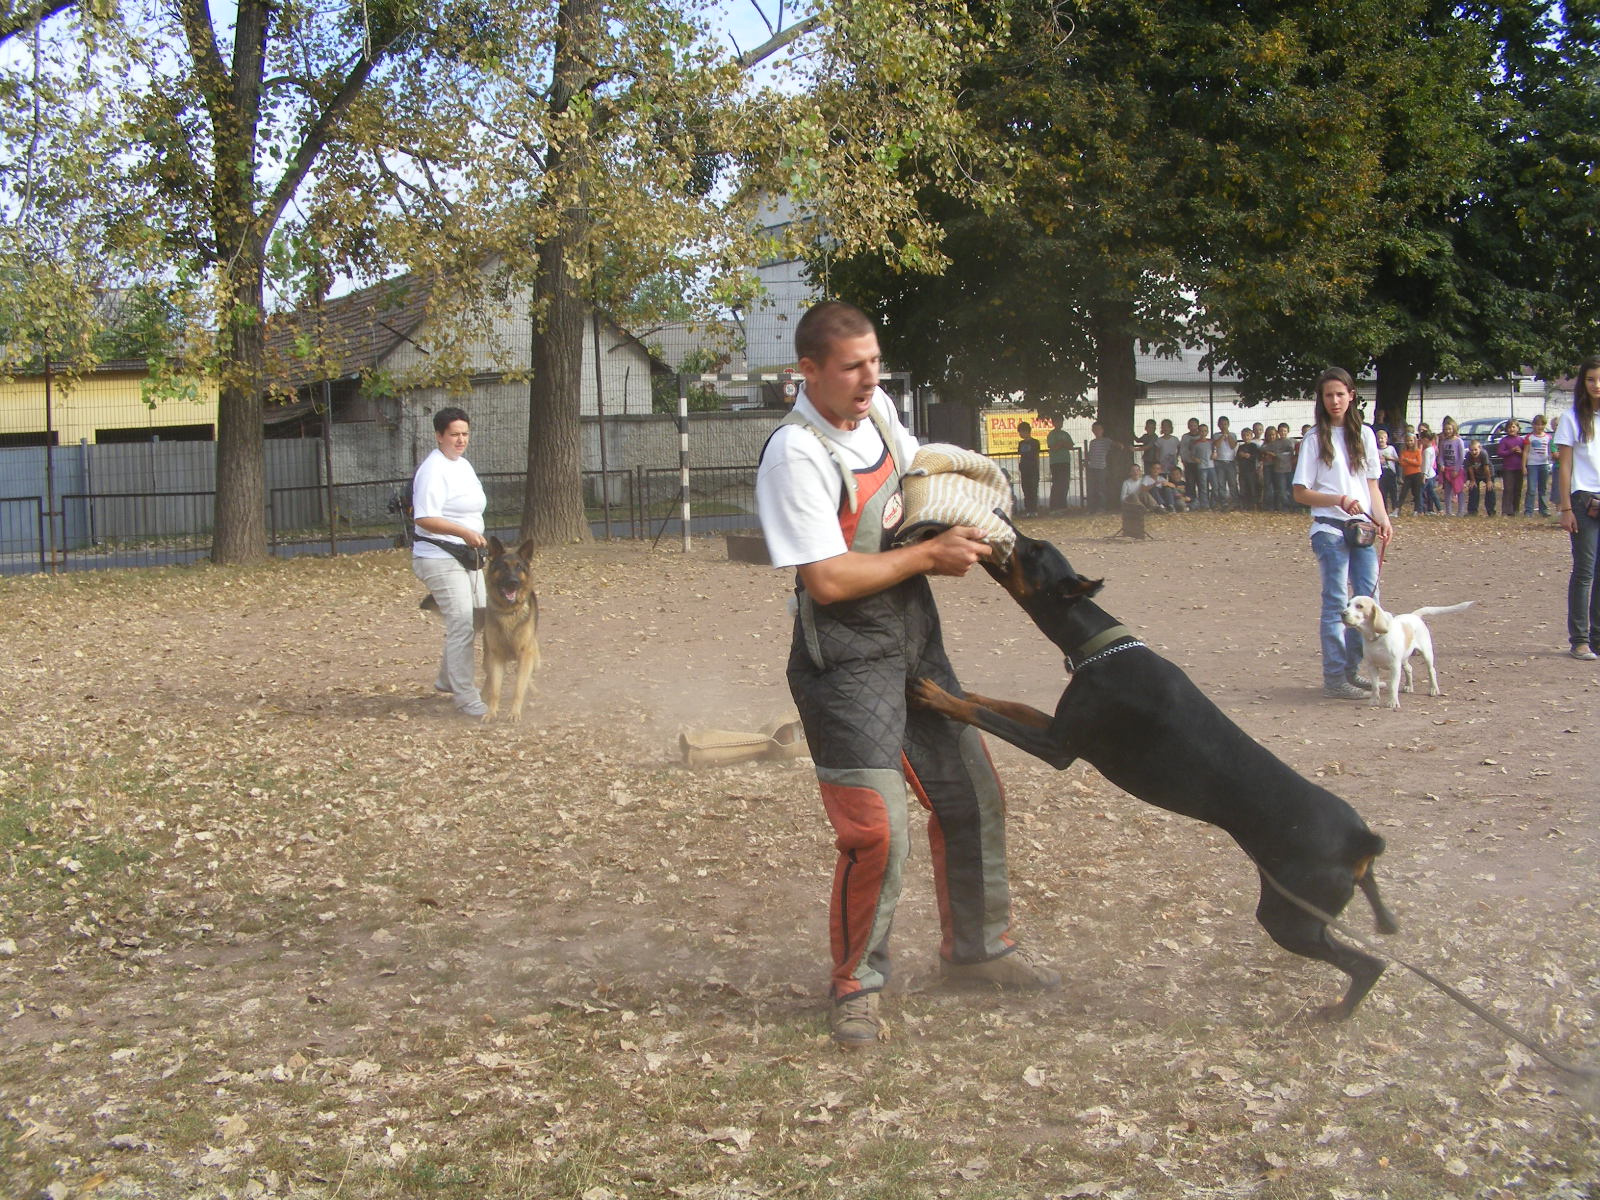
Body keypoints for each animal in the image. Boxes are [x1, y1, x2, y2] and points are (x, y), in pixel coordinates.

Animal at [480, 537, 544, 723]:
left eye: (519, 567)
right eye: (503, 567)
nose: (513, 583)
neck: (508, 612)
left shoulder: (525, 653)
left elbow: (519, 687)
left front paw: (514, 713)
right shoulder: (495, 656)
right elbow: (495, 690)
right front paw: (491, 712)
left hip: (535, 658)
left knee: (526, 674)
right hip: (487, 658)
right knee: (489, 677)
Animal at [915, 534, 1401, 1024]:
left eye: (1033, 552)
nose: (1007, 526)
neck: (1098, 645)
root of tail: (1362, 840)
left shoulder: (1059, 747)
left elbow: (985, 714)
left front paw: (938, 696)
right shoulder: (1056, 726)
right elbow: (998, 704)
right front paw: (959, 689)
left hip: (1290, 918)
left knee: (1368, 964)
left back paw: (1336, 1013)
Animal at [1337, 598, 1472, 710]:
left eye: (1359, 606)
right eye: (1348, 604)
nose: (1342, 613)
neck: (1377, 639)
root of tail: (1414, 615)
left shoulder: (1394, 667)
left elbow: (1393, 686)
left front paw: (1392, 703)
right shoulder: (1372, 666)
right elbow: (1375, 686)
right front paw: (1374, 701)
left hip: (1427, 654)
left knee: (1431, 670)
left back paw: (1433, 689)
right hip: (1404, 659)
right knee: (1409, 669)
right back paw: (1409, 686)